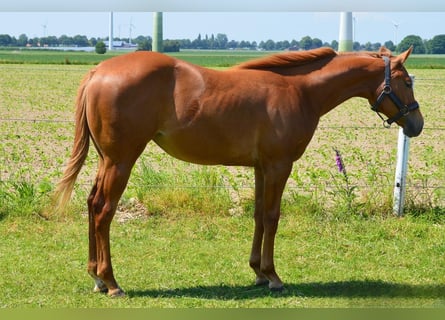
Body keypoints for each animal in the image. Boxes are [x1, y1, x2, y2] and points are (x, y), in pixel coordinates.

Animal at [53, 46, 422, 296]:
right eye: (405, 81)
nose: (416, 124)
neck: (300, 91)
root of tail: (98, 71)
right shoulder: (279, 165)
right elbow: (272, 217)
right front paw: (273, 277)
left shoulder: (261, 168)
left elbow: (258, 215)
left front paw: (258, 272)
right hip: (121, 161)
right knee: (104, 210)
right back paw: (111, 281)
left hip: (106, 160)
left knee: (91, 204)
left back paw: (96, 277)